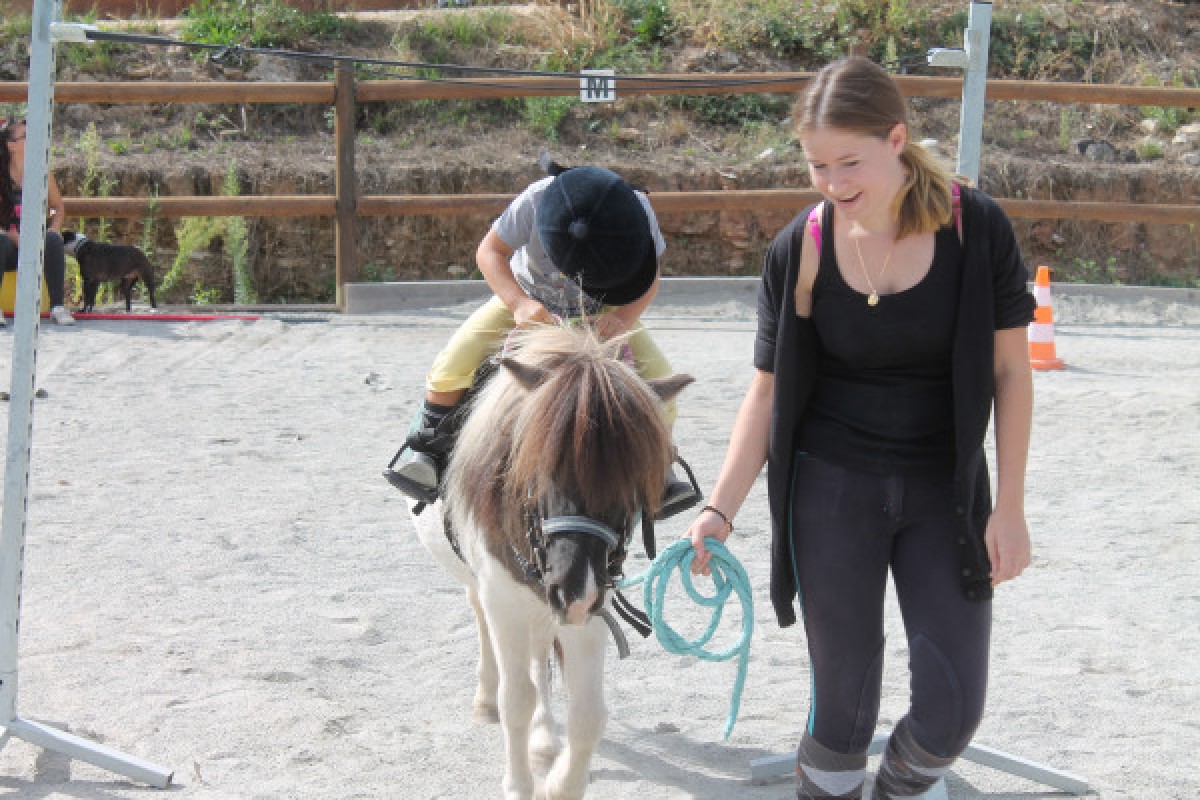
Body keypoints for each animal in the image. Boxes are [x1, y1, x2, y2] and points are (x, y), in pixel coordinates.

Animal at [408, 323, 692, 800]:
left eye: (635, 482)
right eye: (538, 467)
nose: (574, 586)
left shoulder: (592, 608)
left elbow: (589, 713)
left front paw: (559, 783)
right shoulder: (505, 601)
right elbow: (515, 699)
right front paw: (519, 784)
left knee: (541, 655)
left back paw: (543, 740)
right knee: (483, 623)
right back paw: (485, 699)